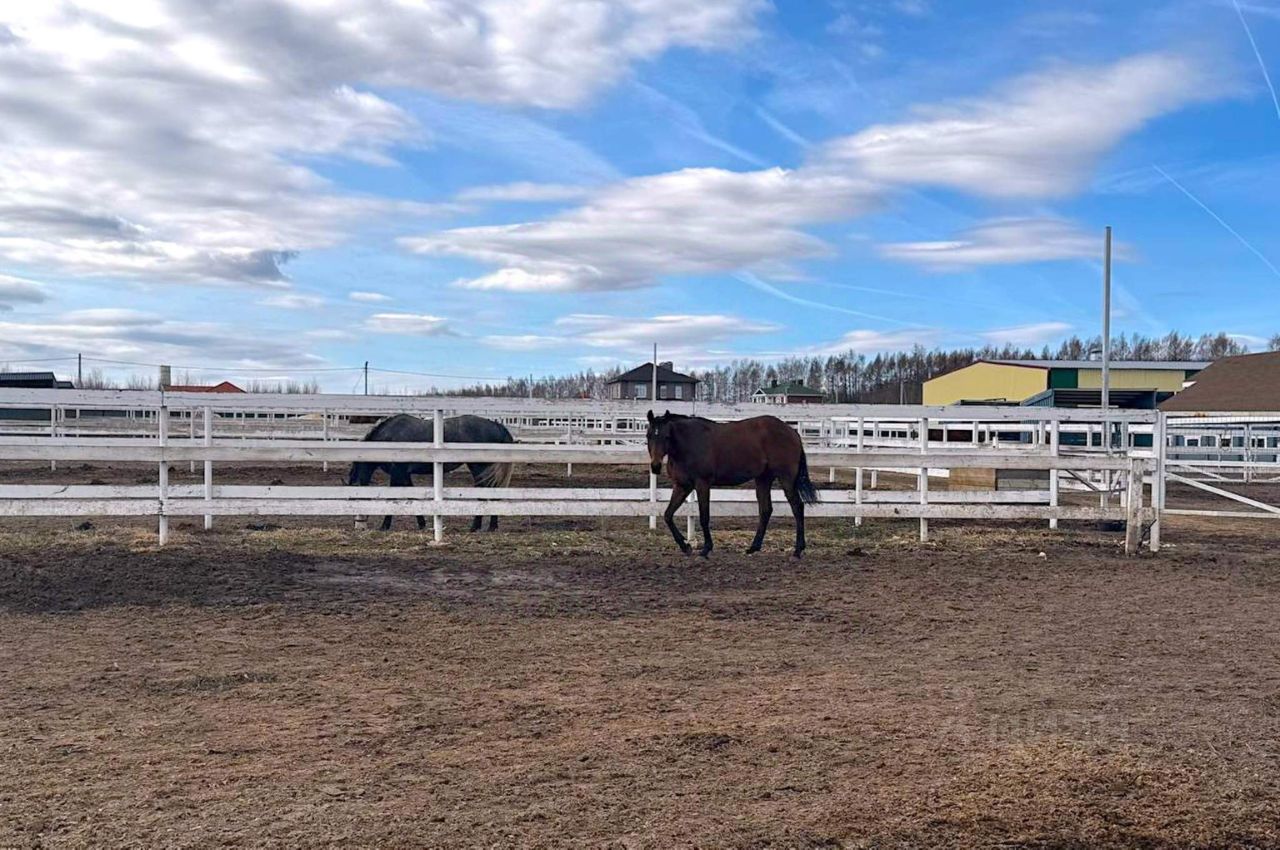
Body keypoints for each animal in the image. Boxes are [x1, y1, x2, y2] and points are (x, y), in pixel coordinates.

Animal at [348, 413, 515, 532]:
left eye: (356, 499)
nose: (359, 526)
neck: (388, 439)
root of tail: (495, 425)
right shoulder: (404, 474)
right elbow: (411, 495)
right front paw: (422, 524)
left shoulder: (397, 472)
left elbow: (393, 497)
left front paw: (384, 526)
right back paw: (490, 526)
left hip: (479, 467)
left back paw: (477, 526)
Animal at [646, 410, 819, 558]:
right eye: (648, 436)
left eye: (666, 436)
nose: (655, 466)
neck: (687, 444)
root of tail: (793, 432)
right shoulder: (682, 486)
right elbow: (668, 515)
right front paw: (685, 546)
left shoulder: (702, 484)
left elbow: (704, 516)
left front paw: (706, 548)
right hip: (763, 479)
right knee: (766, 510)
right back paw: (753, 547)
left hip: (786, 479)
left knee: (797, 507)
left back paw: (798, 550)